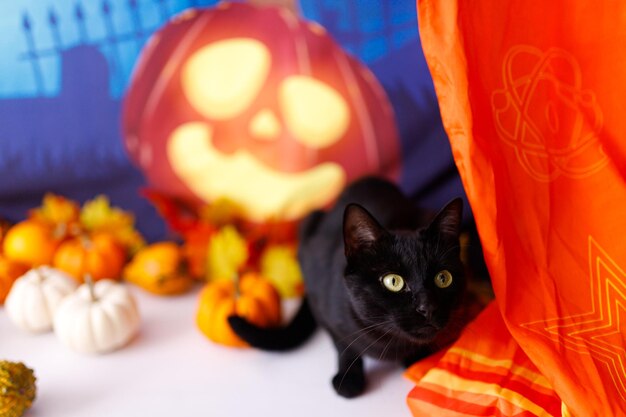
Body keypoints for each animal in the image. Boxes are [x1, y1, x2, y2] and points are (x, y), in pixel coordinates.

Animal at [227, 176, 466, 396]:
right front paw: (349, 378)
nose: (428, 307)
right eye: (393, 281)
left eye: (443, 278)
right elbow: (344, 345)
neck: (388, 341)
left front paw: (416, 359)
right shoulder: (323, 308)